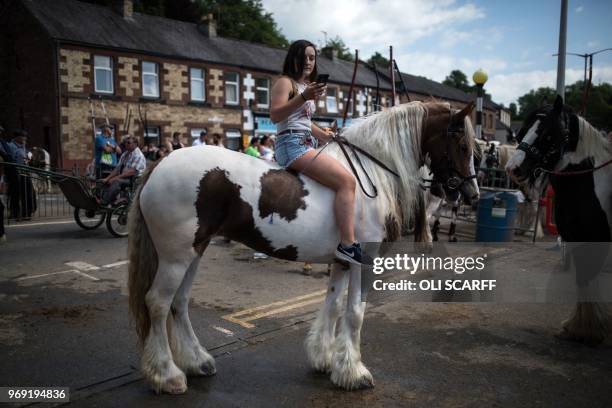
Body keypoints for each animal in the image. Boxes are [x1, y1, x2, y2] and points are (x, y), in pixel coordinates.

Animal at [125, 100, 478, 394]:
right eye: (463, 145)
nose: (472, 193)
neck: (370, 172)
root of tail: (158, 164)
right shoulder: (364, 262)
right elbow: (355, 313)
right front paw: (353, 372)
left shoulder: (342, 262)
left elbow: (333, 307)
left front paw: (325, 359)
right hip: (175, 257)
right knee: (158, 303)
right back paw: (167, 375)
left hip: (194, 251)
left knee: (179, 303)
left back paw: (196, 361)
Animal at [506, 95, 612, 344]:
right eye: (523, 131)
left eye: (547, 134)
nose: (513, 168)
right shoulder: (576, 238)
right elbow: (583, 278)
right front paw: (581, 328)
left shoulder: (597, 240)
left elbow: (588, 275)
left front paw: (590, 329)